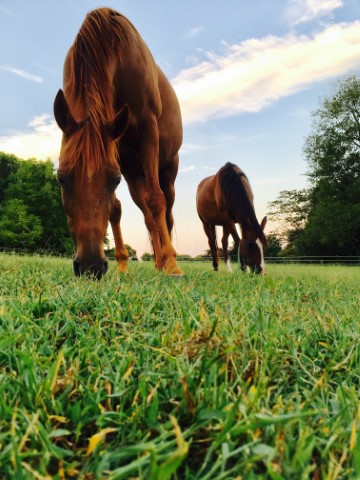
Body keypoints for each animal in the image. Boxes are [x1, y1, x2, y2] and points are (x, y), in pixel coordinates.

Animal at [54, 7, 183, 278]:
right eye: (61, 178)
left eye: (114, 180)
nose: (91, 266)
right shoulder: (120, 155)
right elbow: (116, 208)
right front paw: (122, 266)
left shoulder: (147, 129)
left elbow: (157, 200)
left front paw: (173, 266)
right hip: (135, 175)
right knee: (148, 218)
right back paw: (158, 263)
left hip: (167, 171)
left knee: (165, 212)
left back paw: (169, 262)